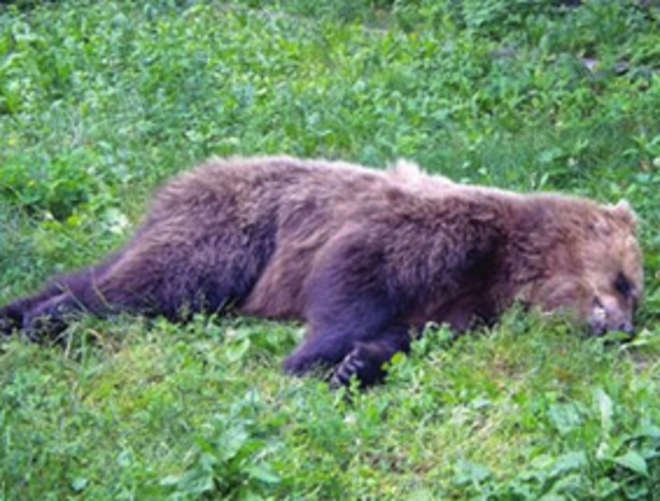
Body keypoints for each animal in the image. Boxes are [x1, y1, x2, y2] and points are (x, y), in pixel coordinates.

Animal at [0, 156, 644, 387]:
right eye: (627, 283)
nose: (623, 327)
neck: (513, 264)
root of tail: (182, 181)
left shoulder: (465, 300)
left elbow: (409, 333)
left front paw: (358, 364)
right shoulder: (429, 236)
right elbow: (354, 281)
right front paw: (311, 358)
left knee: (99, 273)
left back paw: (21, 310)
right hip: (231, 234)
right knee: (157, 284)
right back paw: (51, 317)